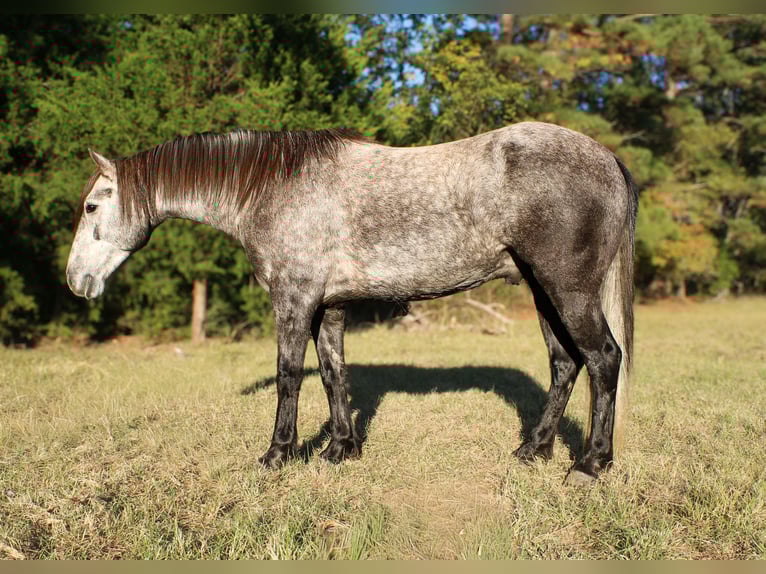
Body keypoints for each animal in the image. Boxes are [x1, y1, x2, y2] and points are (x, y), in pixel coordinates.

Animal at [66, 122, 637, 485]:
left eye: (92, 206)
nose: (75, 281)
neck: (273, 189)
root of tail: (607, 158)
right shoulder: (329, 306)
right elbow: (333, 371)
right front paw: (341, 449)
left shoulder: (294, 299)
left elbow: (289, 375)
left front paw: (278, 455)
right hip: (545, 294)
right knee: (565, 364)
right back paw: (533, 450)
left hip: (568, 291)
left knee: (604, 359)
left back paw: (590, 465)